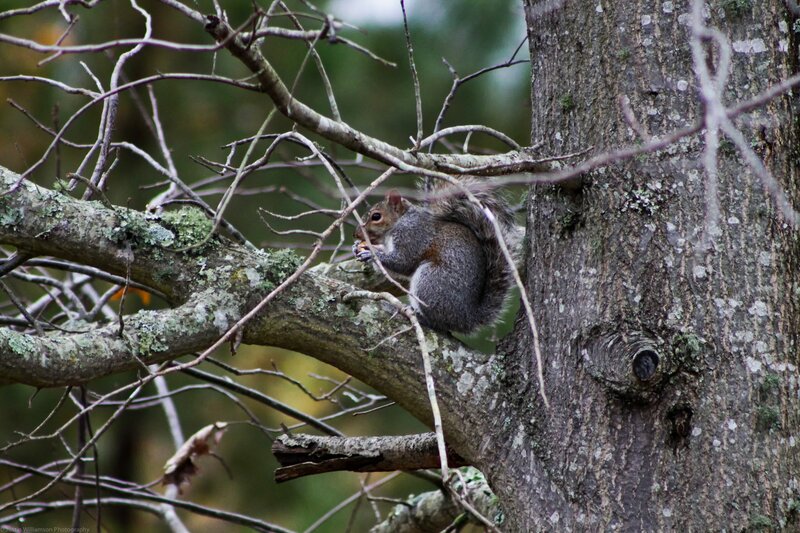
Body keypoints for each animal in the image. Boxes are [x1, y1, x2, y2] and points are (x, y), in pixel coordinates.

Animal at [352, 180, 520, 334]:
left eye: (376, 216)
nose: (356, 234)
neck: (401, 220)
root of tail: (467, 319)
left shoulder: (413, 236)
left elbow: (403, 262)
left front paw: (371, 253)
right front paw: (358, 247)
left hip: (430, 281)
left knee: (438, 323)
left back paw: (419, 316)